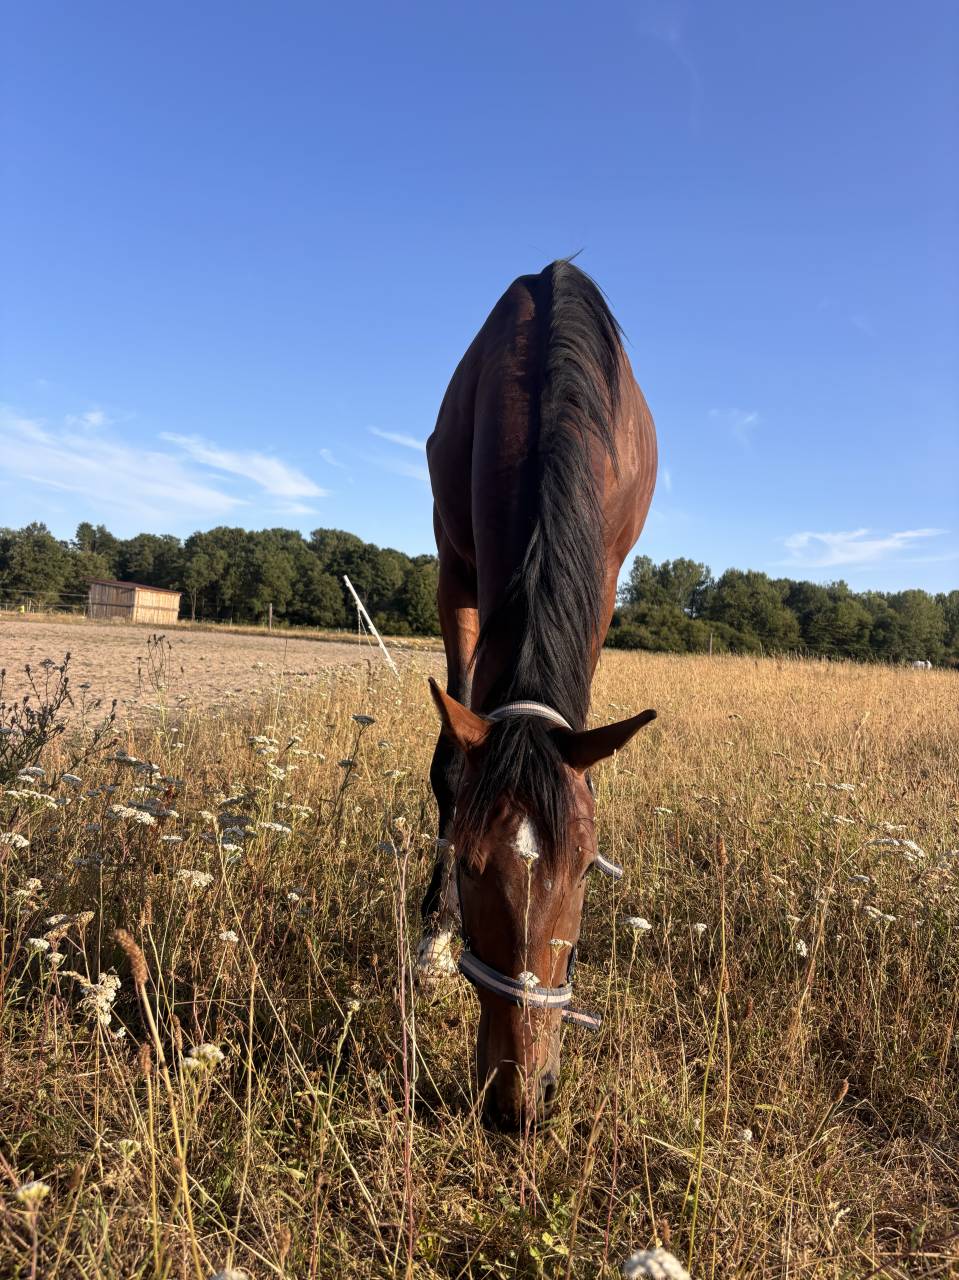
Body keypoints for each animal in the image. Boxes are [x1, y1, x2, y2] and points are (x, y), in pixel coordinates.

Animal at [418, 259, 658, 1128]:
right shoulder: (453, 565)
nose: (517, 1103)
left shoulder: (608, 576)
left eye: (586, 870)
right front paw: (431, 940)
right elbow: (450, 761)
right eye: (466, 866)